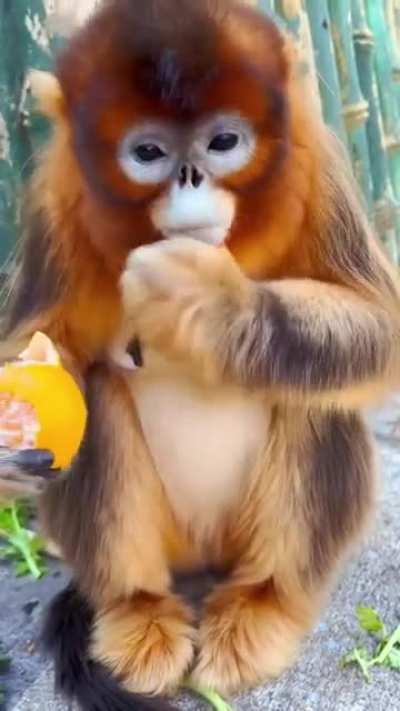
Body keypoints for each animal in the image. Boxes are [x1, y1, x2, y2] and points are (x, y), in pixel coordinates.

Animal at [1, 1, 400, 710]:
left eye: (222, 143)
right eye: (149, 153)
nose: (190, 178)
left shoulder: (320, 162)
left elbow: (378, 325)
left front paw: (209, 304)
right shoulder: (53, 196)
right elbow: (48, 346)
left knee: (310, 388)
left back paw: (262, 605)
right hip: (174, 545)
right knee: (98, 391)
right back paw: (138, 614)